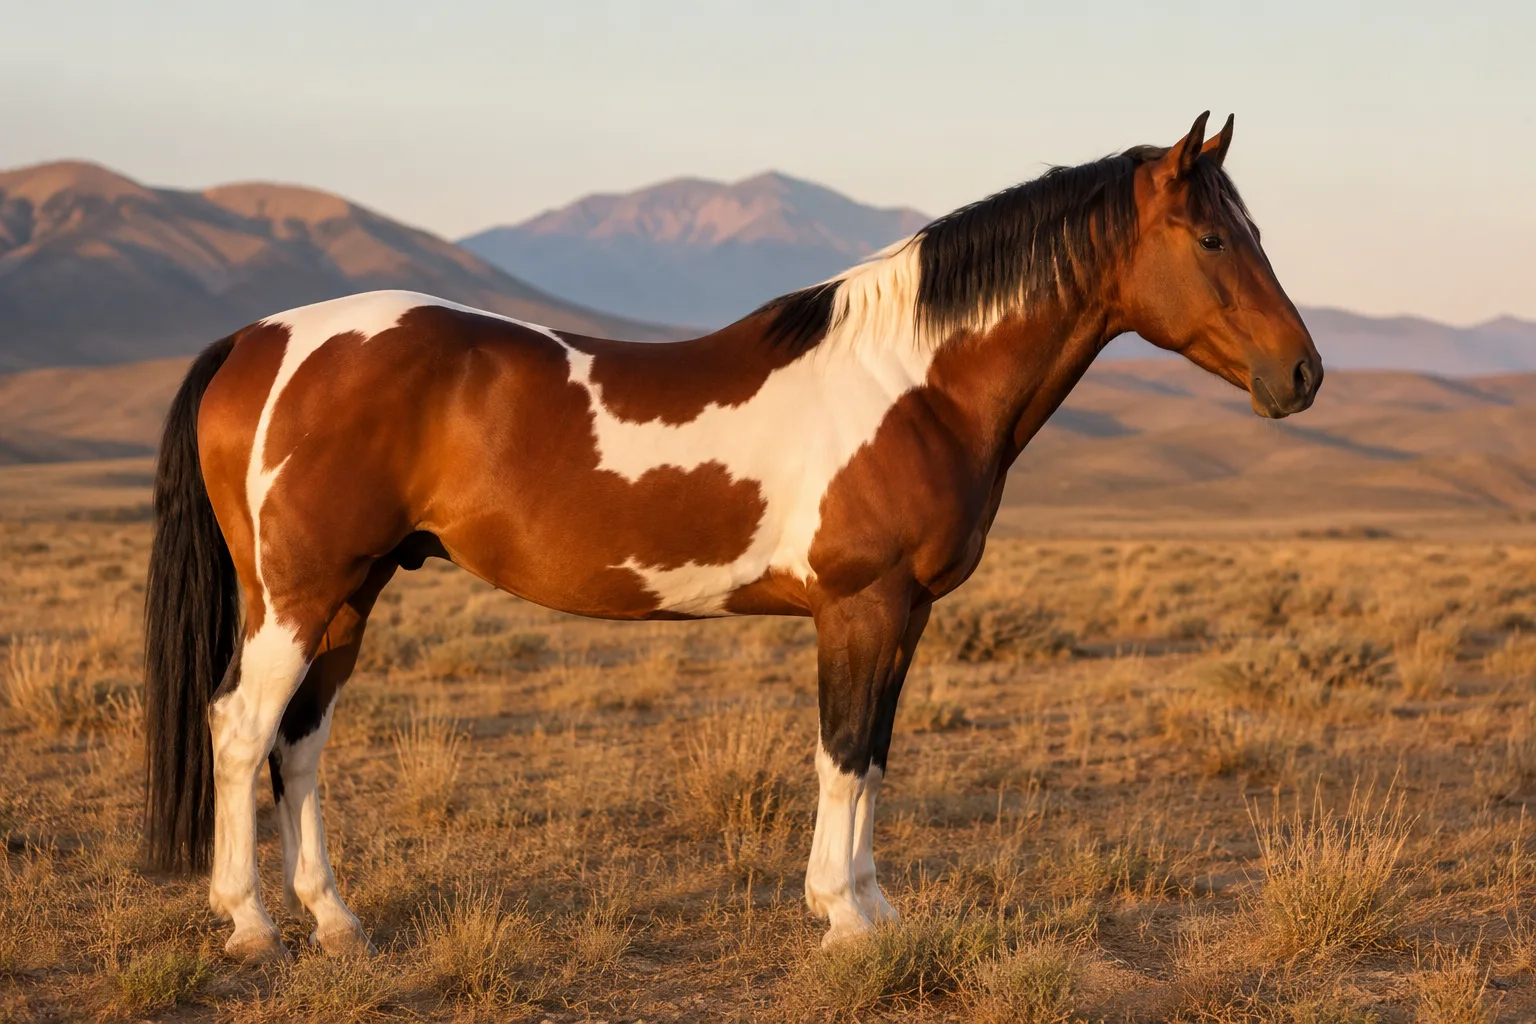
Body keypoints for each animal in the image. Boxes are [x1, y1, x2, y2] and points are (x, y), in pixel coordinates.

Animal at [142, 112, 1322, 960]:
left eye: (1260, 232)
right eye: (1213, 237)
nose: (1303, 375)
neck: (914, 384)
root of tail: (259, 338)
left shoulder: (902, 616)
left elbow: (873, 753)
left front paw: (873, 909)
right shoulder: (861, 606)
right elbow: (842, 753)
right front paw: (842, 919)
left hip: (351, 591)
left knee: (300, 743)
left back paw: (337, 923)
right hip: (298, 596)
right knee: (241, 727)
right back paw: (249, 927)